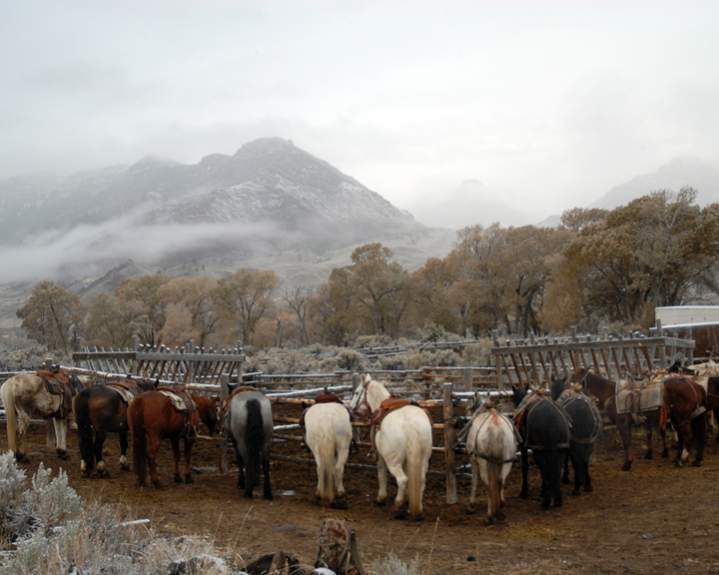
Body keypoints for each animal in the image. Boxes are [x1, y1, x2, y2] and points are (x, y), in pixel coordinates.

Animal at [350, 376, 434, 520]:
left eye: (356, 393)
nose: (350, 407)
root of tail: (411, 424)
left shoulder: (380, 456)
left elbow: (381, 473)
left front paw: (381, 498)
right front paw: (408, 498)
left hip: (393, 461)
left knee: (402, 479)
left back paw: (397, 506)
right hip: (423, 459)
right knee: (421, 480)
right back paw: (417, 508)